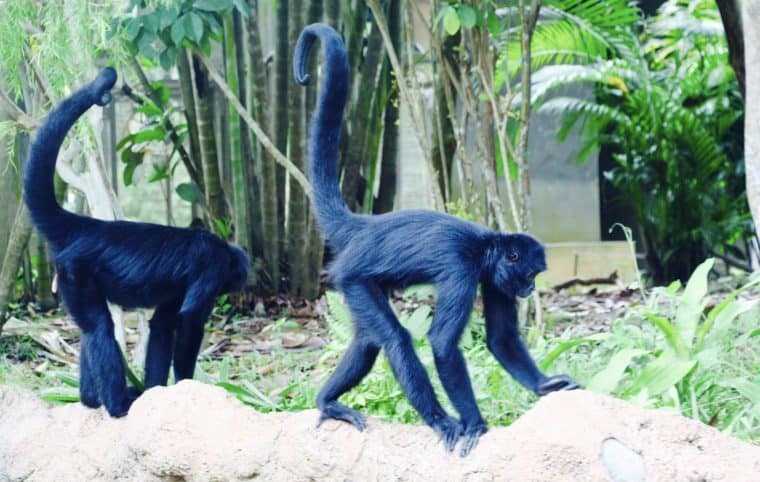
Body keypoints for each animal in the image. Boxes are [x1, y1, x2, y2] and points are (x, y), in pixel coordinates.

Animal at [23, 68, 249, 418]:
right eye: (229, 281)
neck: (222, 250)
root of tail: (86, 226)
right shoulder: (210, 269)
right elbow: (188, 320)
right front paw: (186, 385)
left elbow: (162, 326)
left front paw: (157, 392)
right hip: (75, 271)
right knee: (99, 328)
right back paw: (117, 405)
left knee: (91, 330)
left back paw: (91, 399)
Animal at [294, 24, 580, 458]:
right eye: (530, 274)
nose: (530, 289)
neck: (485, 246)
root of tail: (363, 226)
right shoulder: (463, 268)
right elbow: (443, 343)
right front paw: (474, 423)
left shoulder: (492, 278)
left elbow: (500, 338)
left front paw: (545, 385)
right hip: (352, 277)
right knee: (395, 338)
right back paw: (440, 419)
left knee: (367, 340)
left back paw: (327, 401)